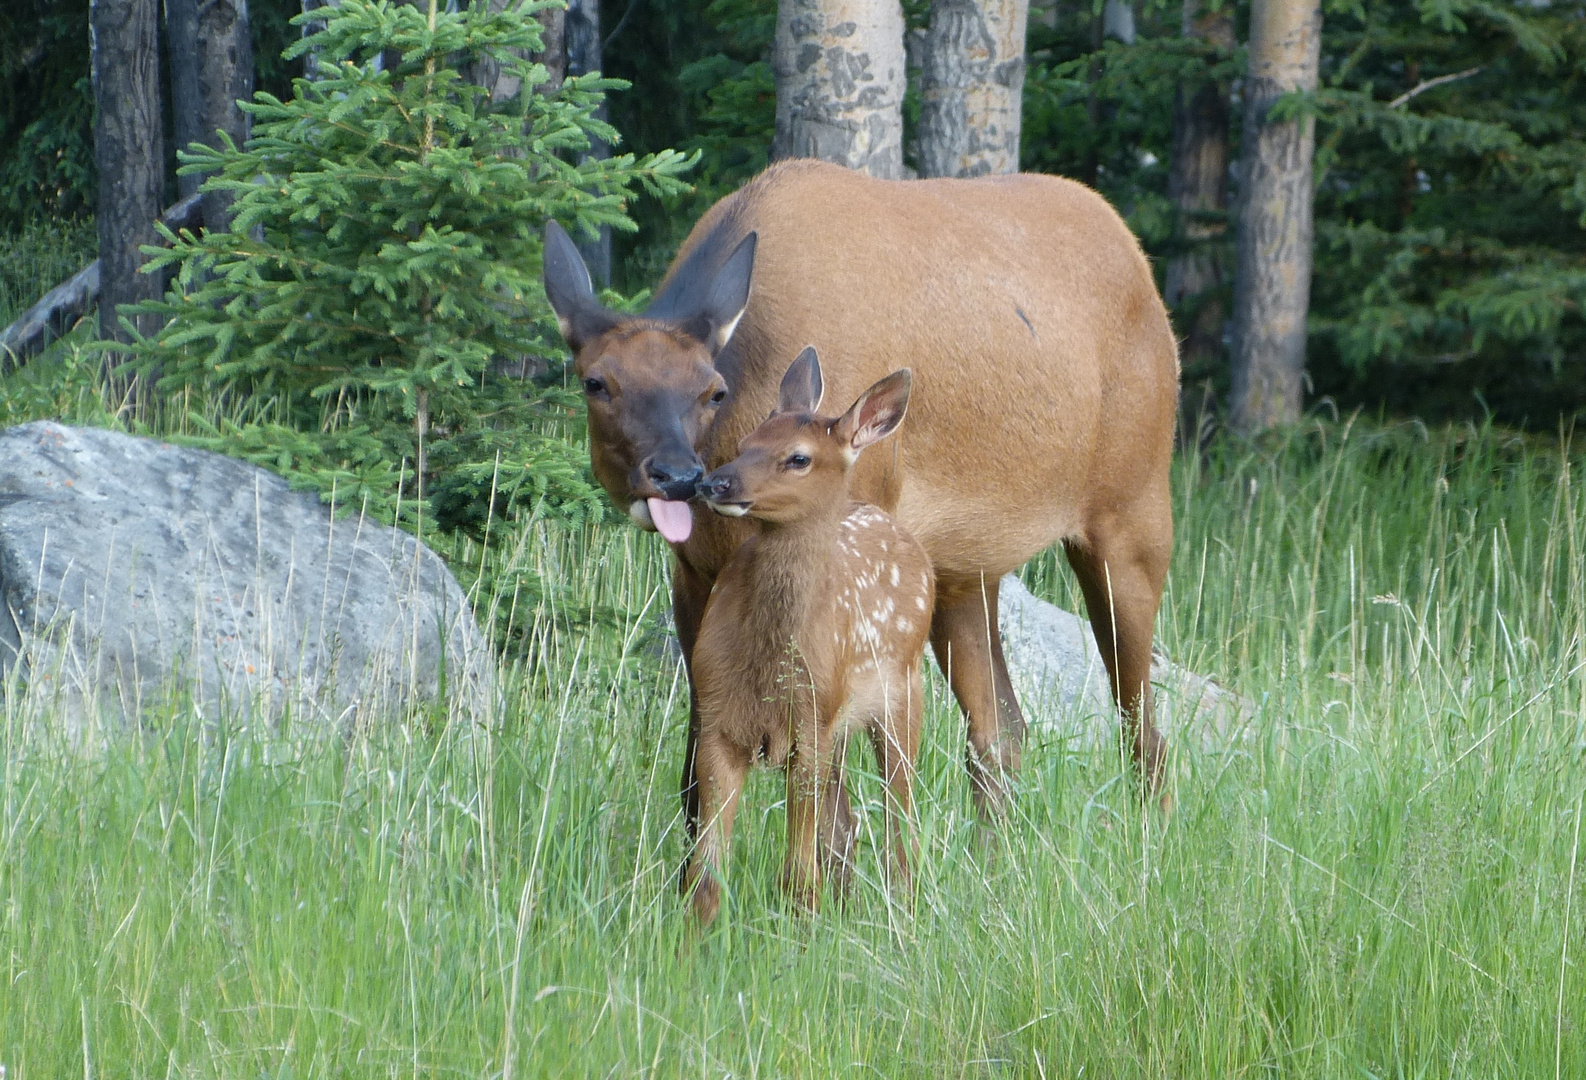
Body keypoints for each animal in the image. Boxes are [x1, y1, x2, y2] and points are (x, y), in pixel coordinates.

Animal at [545, 160, 1179, 831]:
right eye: (595, 383)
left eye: (712, 390)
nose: (676, 474)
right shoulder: (694, 573)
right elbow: (697, 777)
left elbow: (828, 795)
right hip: (965, 571)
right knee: (1001, 731)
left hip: (1133, 514)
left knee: (1143, 728)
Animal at [688, 348, 932, 919]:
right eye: (746, 443)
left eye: (798, 458)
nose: (715, 483)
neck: (766, 663)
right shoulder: (719, 717)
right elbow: (705, 879)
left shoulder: (809, 725)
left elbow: (798, 873)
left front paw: (803, 923)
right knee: (848, 824)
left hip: (902, 694)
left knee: (900, 818)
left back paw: (904, 912)